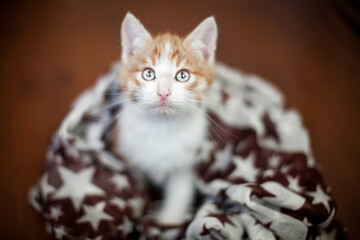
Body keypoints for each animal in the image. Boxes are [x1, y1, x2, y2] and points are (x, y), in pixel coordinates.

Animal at [115, 12, 217, 224]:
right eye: (148, 73)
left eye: (183, 75)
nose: (163, 93)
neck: (162, 127)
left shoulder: (187, 160)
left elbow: (181, 189)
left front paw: (169, 219)